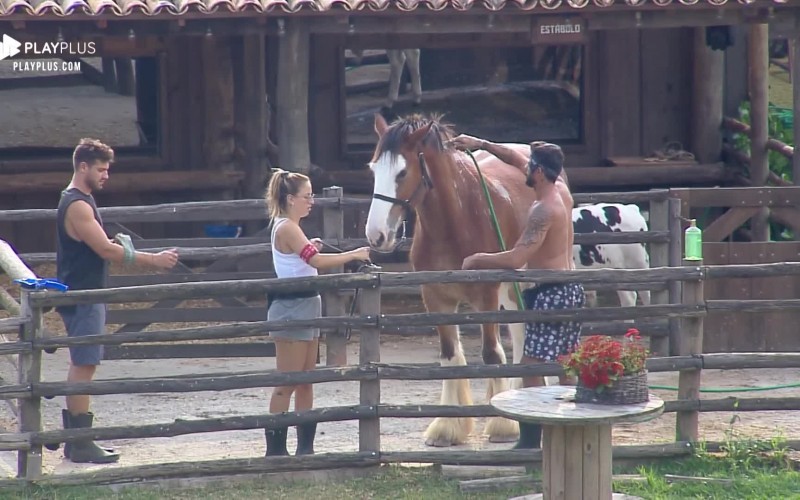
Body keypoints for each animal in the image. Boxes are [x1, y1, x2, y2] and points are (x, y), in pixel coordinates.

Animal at [364, 113, 541, 447]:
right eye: (373, 169)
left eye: (402, 171)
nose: (376, 235)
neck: (457, 221)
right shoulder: (435, 298)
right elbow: (450, 356)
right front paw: (447, 426)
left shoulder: (486, 295)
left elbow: (491, 355)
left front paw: (502, 425)